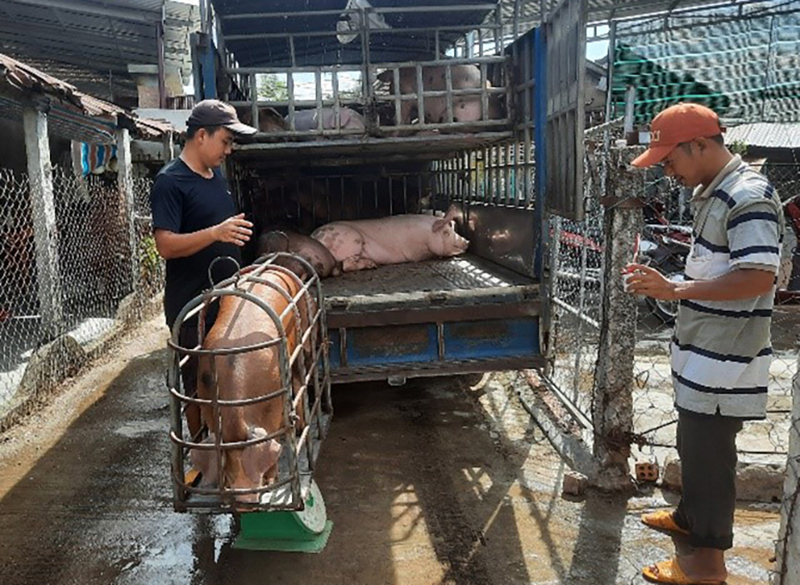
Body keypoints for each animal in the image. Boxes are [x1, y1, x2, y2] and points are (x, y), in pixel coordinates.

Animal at [308, 205, 468, 272]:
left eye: (452, 229)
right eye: (446, 233)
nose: (467, 241)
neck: (426, 235)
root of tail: (316, 236)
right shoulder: (415, 251)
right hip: (351, 241)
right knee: (347, 266)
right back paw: (372, 265)